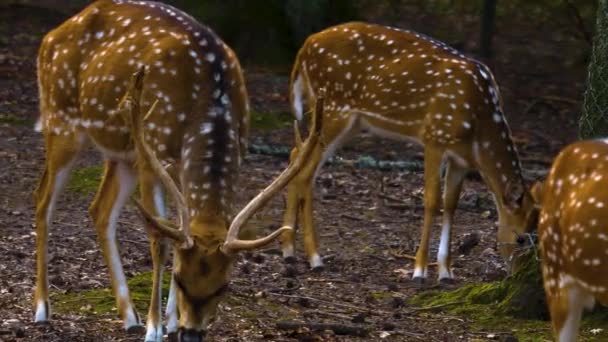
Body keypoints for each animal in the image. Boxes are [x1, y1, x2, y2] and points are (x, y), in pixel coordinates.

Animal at [34, 1, 324, 340]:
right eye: (181, 279)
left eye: (223, 287)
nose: (191, 333)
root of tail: (51, 35)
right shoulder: (152, 152)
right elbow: (160, 239)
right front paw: (155, 328)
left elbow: (177, 233)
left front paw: (169, 321)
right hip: (61, 119)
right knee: (42, 199)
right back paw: (42, 309)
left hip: (123, 154)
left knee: (100, 209)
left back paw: (128, 315)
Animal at [278, 22, 540, 282]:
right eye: (520, 238)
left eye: (536, 233)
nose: (516, 273)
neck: (478, 127)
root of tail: (306, 46)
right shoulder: (434, 137)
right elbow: (432, 200)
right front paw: (419, 270)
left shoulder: (461, 158)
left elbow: (451, 203)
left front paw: (446, 271)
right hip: (334, 106)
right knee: (306, 172)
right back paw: (315, 258)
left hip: (348, 120)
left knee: (296, 154)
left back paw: (289, 249)